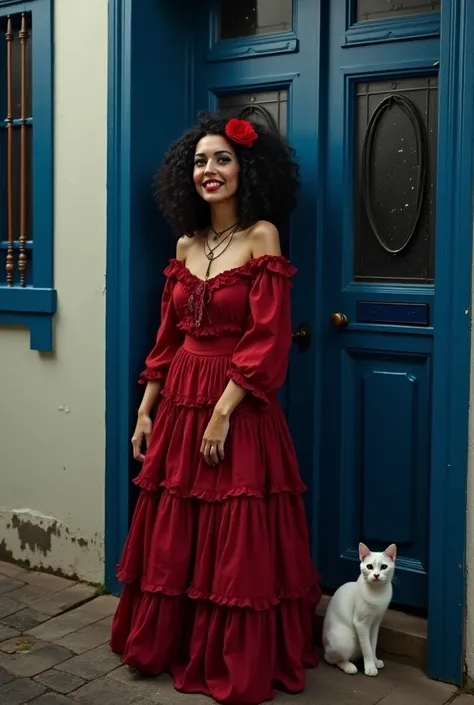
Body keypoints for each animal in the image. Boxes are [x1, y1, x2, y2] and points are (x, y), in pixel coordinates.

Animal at [322, 540, 396, 676]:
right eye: (369, 567)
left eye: (383, 567)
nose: (376, 575)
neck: (377, 594)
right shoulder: (361, 623)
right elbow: (366, 647)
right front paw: (370, 667)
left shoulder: (375, 623)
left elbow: (372, 644)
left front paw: (375, 661)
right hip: (345, 641)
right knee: (331, 659)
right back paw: (349, 666)